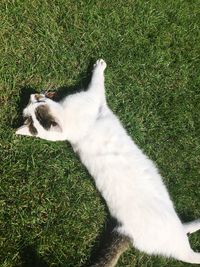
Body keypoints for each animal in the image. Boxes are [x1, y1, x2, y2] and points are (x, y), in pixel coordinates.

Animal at [16, 59, 200, 266]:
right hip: (174, 240)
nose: (32, 94)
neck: (69, 124)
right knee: (190, 255)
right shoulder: (94, 96)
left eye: (37, 102)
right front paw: (99, 67)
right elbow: (97, 81)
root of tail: (124, 231)